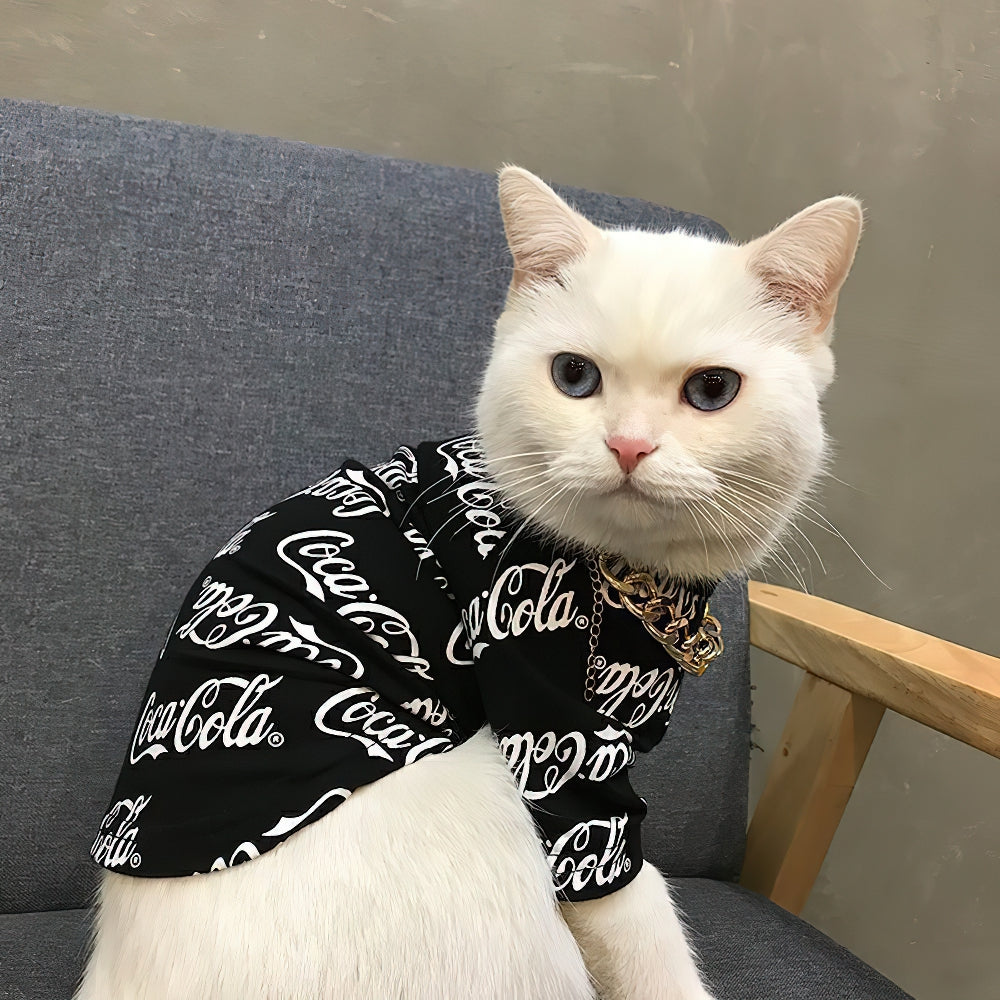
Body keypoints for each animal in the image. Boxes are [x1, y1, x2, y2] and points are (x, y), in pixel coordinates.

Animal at [76, 168, 860, 996]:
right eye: (574, 375)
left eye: (713, 390)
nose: (628, 445)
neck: (628, 577)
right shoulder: (557, 739)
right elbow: (632, 913)